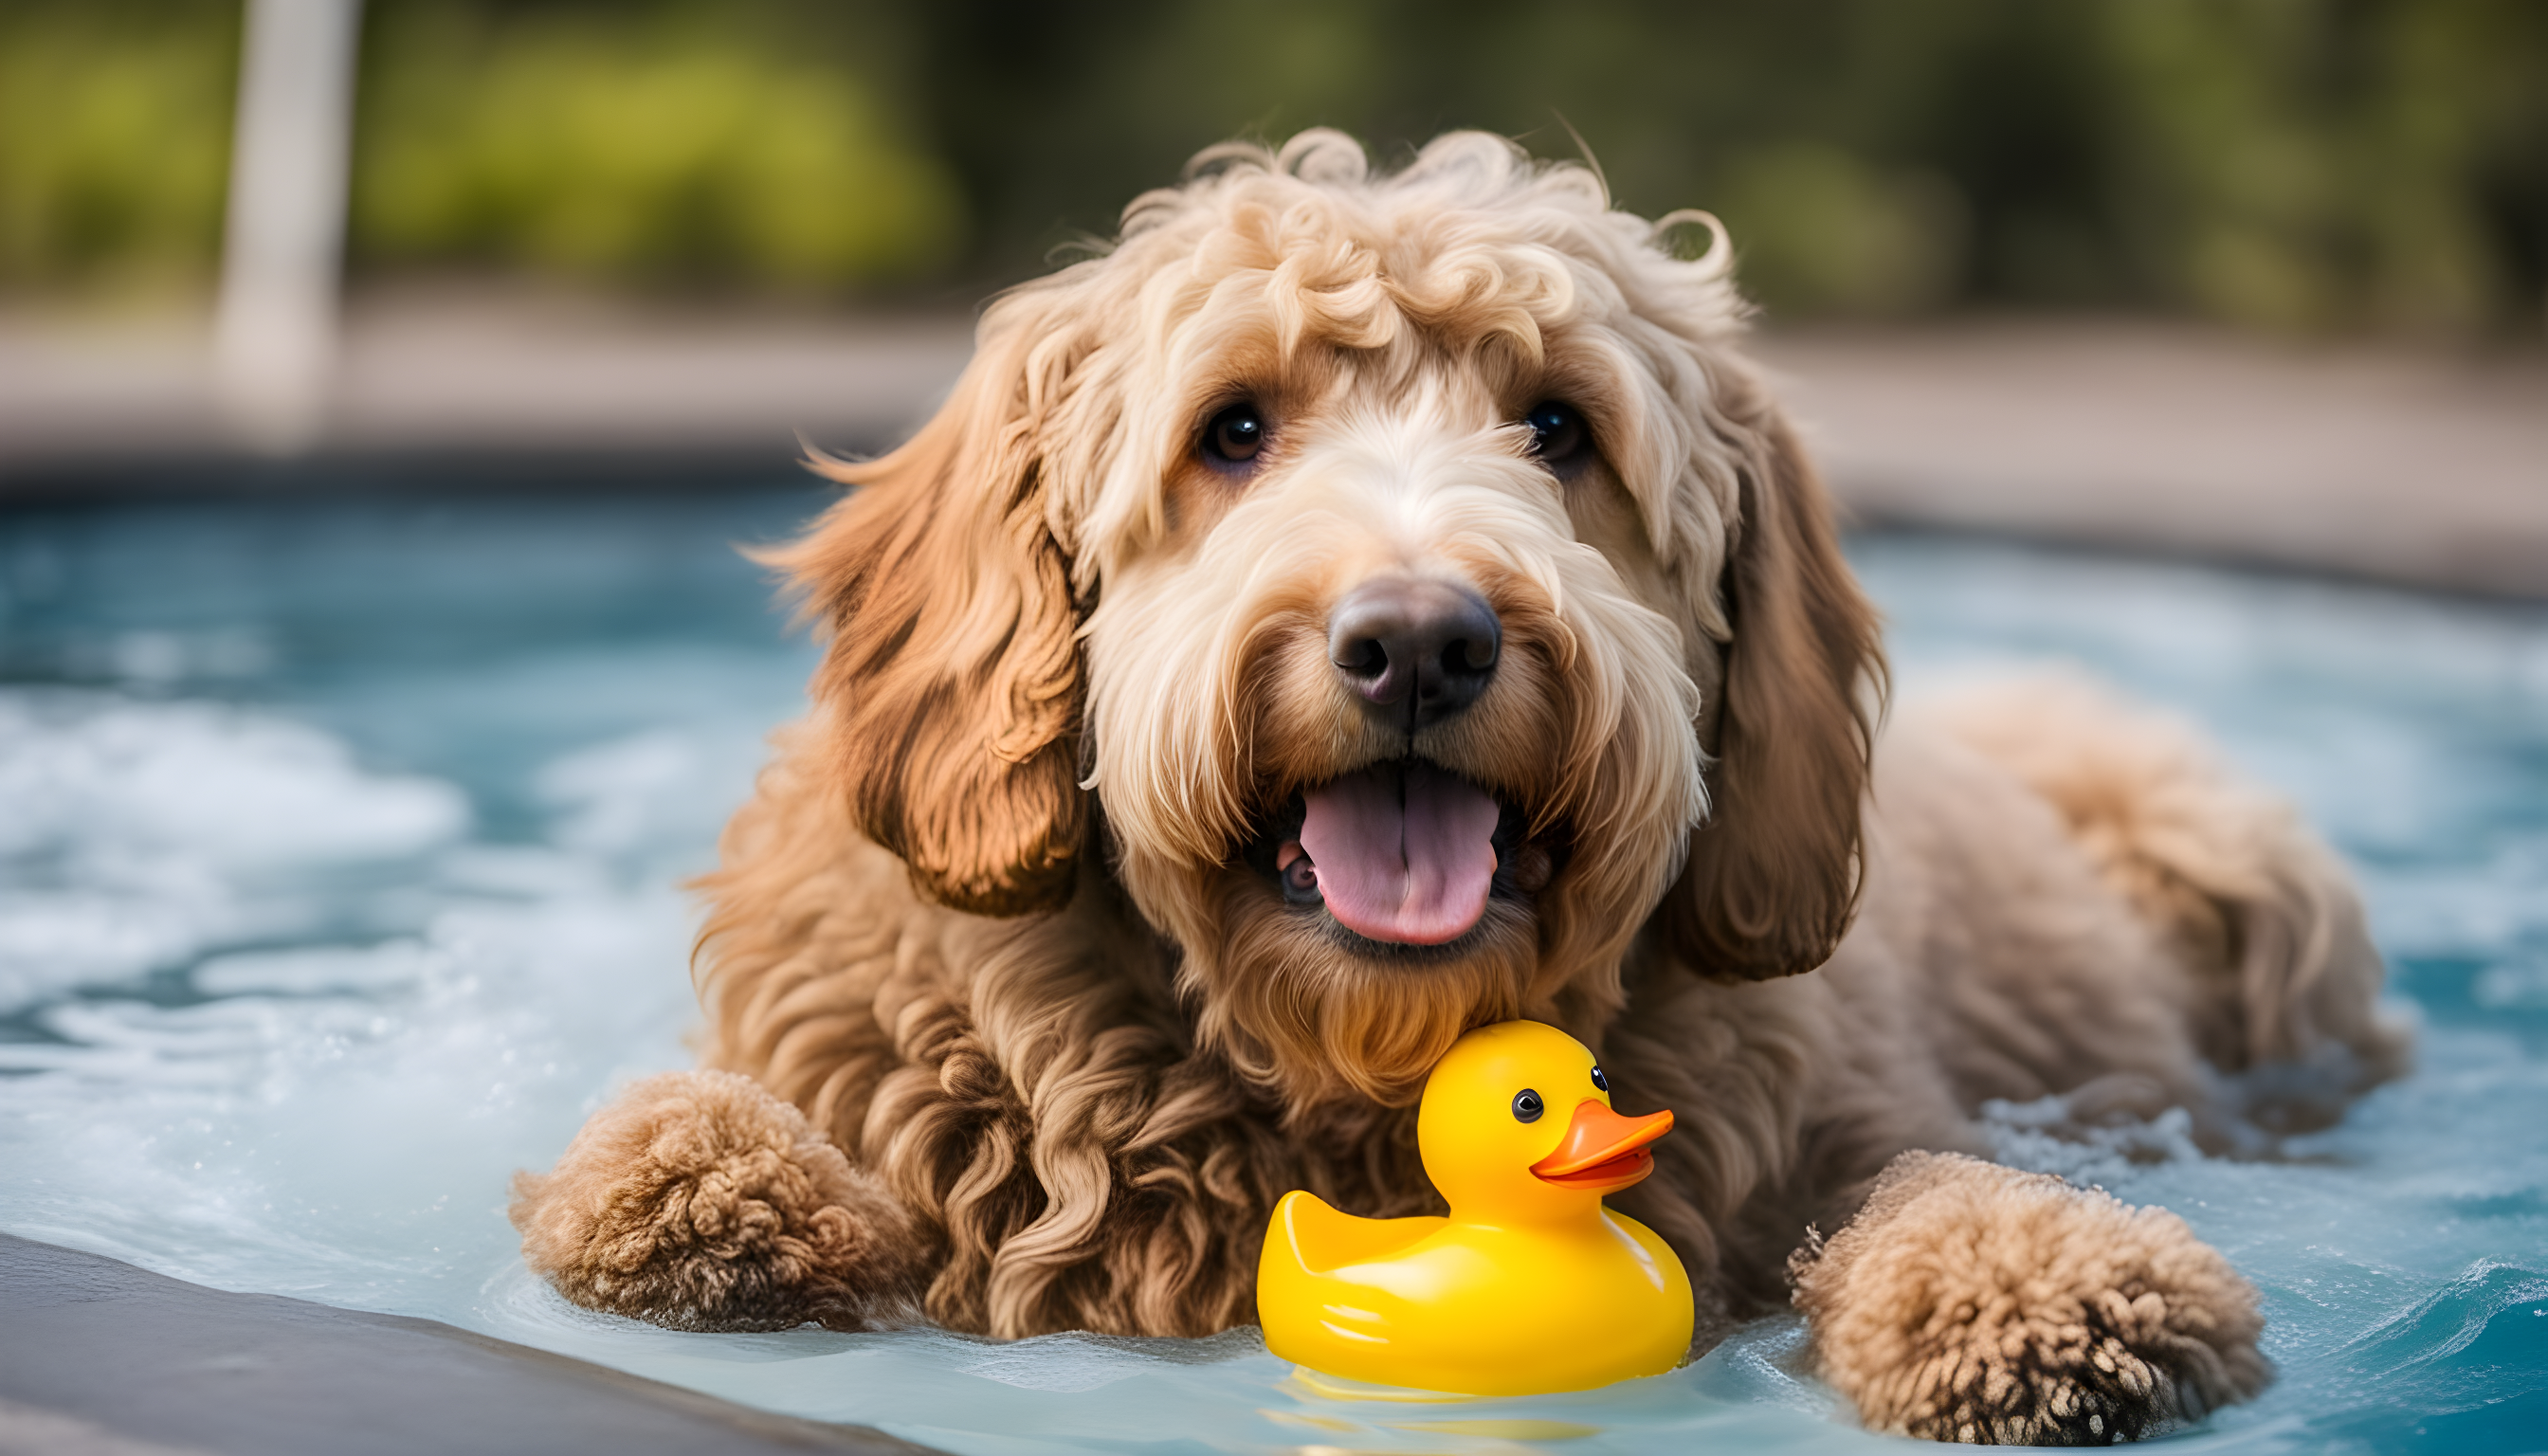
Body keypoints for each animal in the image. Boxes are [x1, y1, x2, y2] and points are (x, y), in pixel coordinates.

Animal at [517, 134, 2405, 1447]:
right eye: (1232, 430)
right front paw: (713, 1197)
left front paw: (2047, 1285)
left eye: (1560, 430)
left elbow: (1922, 1187)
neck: (1338, 1074)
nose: (1419, 643)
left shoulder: (1844, 1118)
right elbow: (714, 1157)